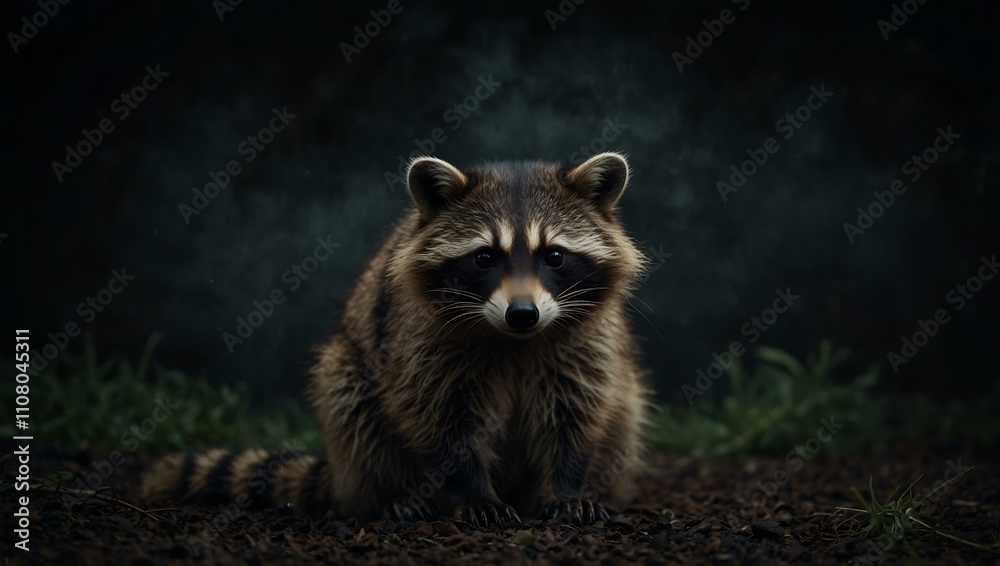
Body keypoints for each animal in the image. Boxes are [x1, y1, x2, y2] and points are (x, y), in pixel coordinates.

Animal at [142, 151, 651, 526]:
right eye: (485, 257)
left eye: (555, 256)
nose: (522, 314)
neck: (513, 339)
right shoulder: (420, 343)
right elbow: (438, 416)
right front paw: (472, 493)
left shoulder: (584, 344)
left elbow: (576, 412)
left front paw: (566, 486)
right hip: (348, 370)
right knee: (353, 407)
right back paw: (393, 493)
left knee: (623, 408)